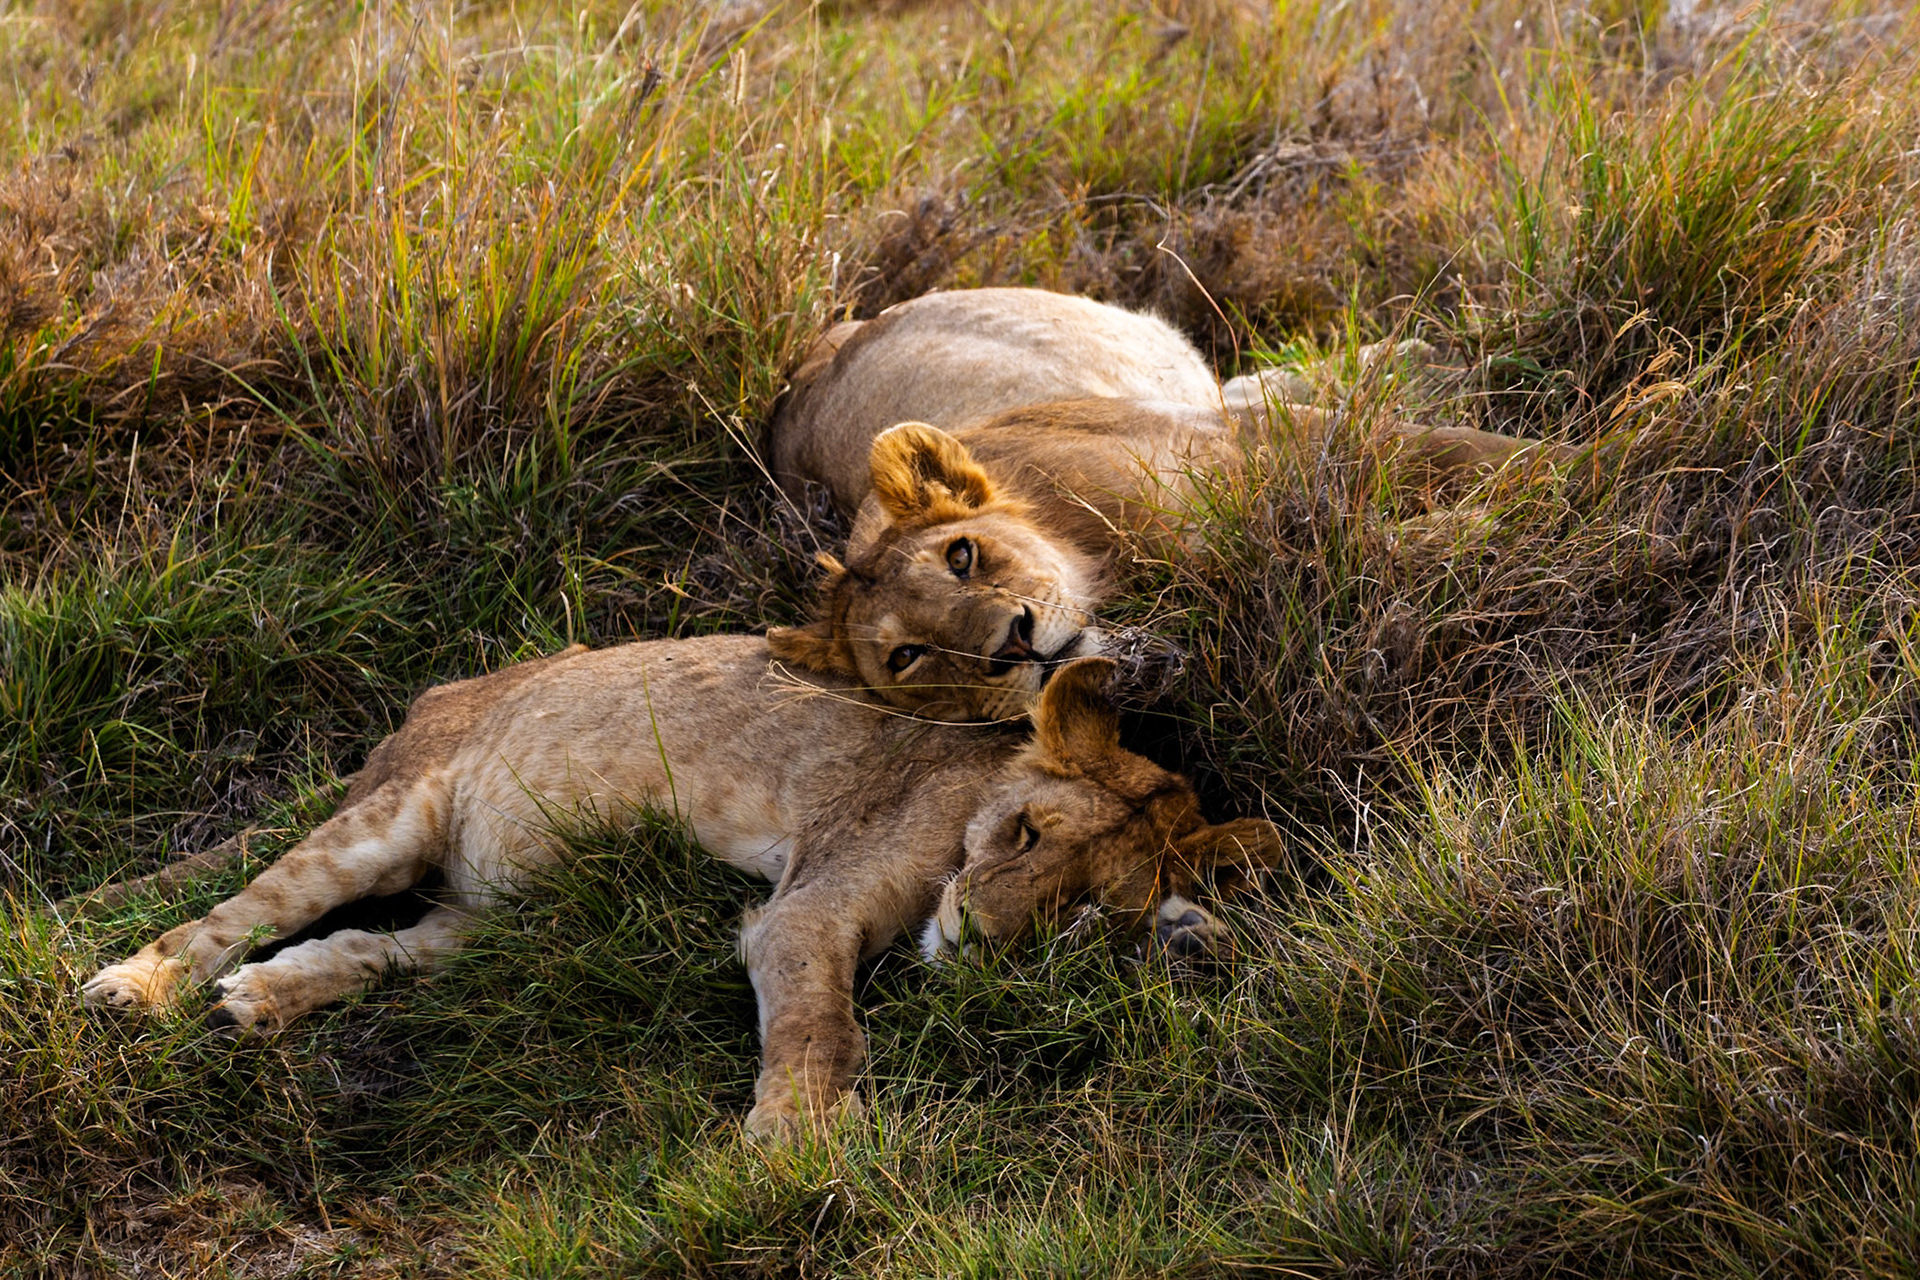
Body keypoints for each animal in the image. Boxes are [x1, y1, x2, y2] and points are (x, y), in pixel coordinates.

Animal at [81, 639, 1281, 1140]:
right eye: (1024, 832)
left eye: (1084, 910)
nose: (978, 938)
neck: (973, 801)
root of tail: (429, 699)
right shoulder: (806, 905)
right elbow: (819, 1026)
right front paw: (795, 1144)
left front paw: (1188, 936)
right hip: (389, 816)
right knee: (235, 913)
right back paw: (137, 989)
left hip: (492, 918)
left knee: (374, 947)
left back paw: (262, 1002)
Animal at [765, 287, 1567, 721]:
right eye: (907, 657)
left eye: (961, 556)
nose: (1010, 646)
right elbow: (1367, 549)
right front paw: (1475, 530)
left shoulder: (1233, 443)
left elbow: (1465, 453)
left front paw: (1590, 470)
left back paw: (1439, 356)